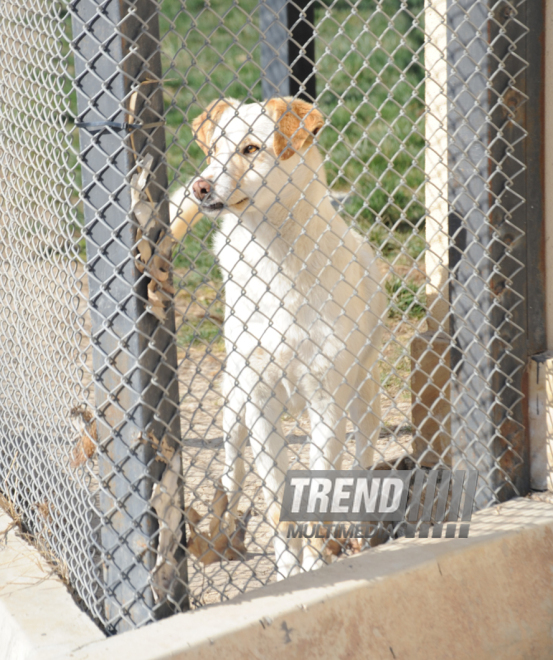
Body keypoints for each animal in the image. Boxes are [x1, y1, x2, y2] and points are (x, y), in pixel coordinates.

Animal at [169, 96, 384, 576]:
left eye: (250, 149)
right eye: (214, 149)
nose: (200, 187)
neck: (275, 255)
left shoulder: (326, 403)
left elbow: (319, 496)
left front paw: (314, 566)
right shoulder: (260, 402)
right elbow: (275, 501)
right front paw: (289, 570)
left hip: (362, 402)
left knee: (359, 463)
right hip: (234, 406)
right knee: (232, 477)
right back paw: (220, 533)